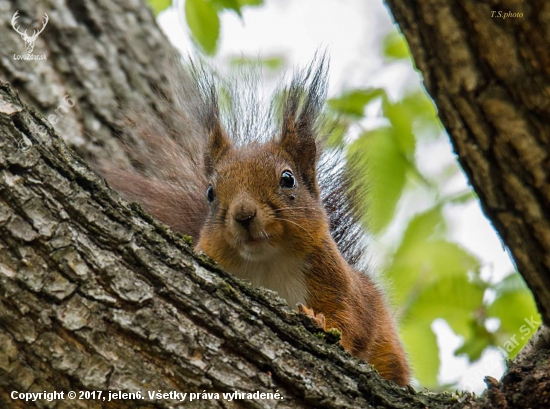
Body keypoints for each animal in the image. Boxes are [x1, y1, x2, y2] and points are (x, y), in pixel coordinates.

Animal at [99, 55, 412, 384]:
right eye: (210, 192)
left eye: (288, 179)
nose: (244, 214)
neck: (266, 262)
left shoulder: (342, 287)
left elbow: (351, 323)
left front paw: (320, 322)